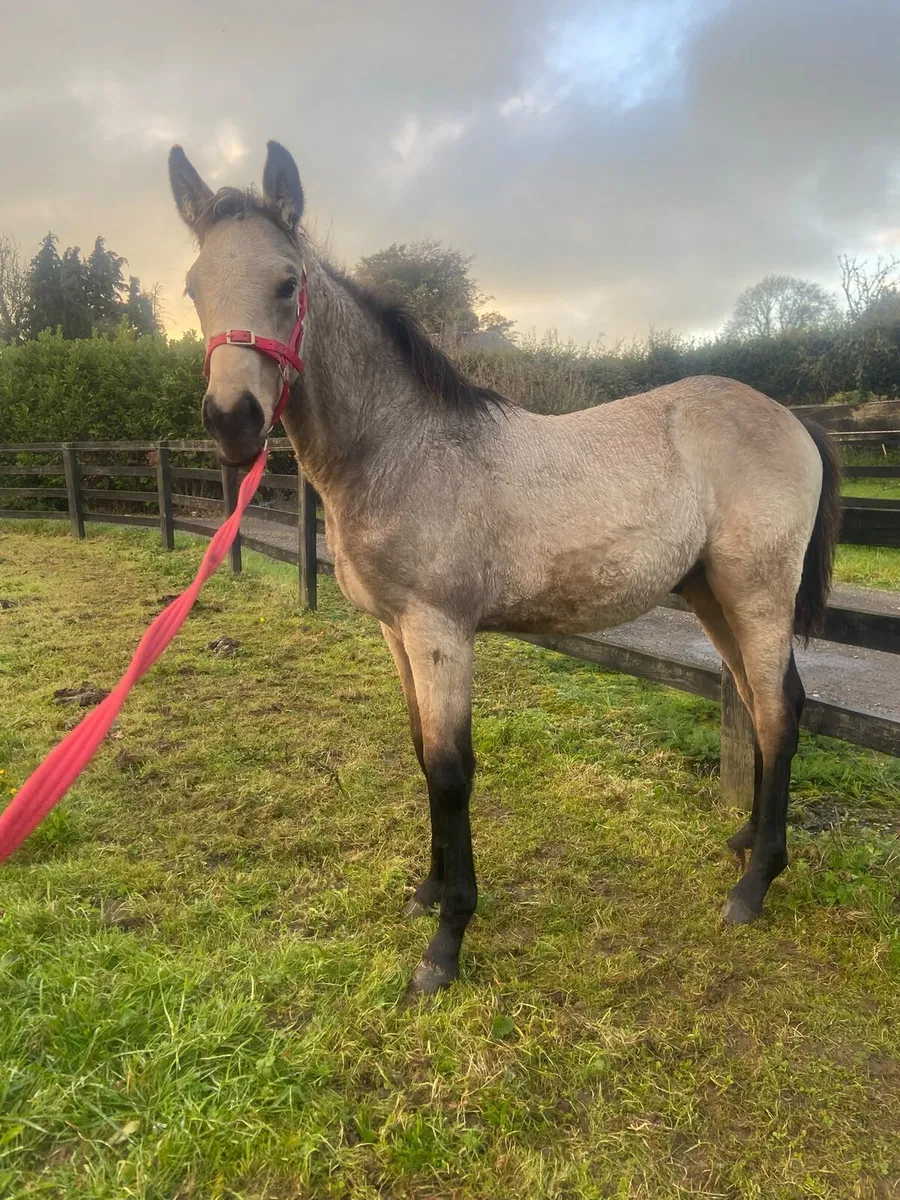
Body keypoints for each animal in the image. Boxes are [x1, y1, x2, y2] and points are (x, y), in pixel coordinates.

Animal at [168, 141, 841, 994]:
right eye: (193, 288)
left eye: (288, 283)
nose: (232, 422)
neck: (402, 449)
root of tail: (794, 419)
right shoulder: (396, 632)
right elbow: (420, 751)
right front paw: (427, 892)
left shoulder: (441, 631)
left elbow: (451, 770)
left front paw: (447, 942)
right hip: (711, 594)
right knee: (764, 704)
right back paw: (747, 846)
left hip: (756, 592)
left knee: (781, 713)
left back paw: (754, 886)